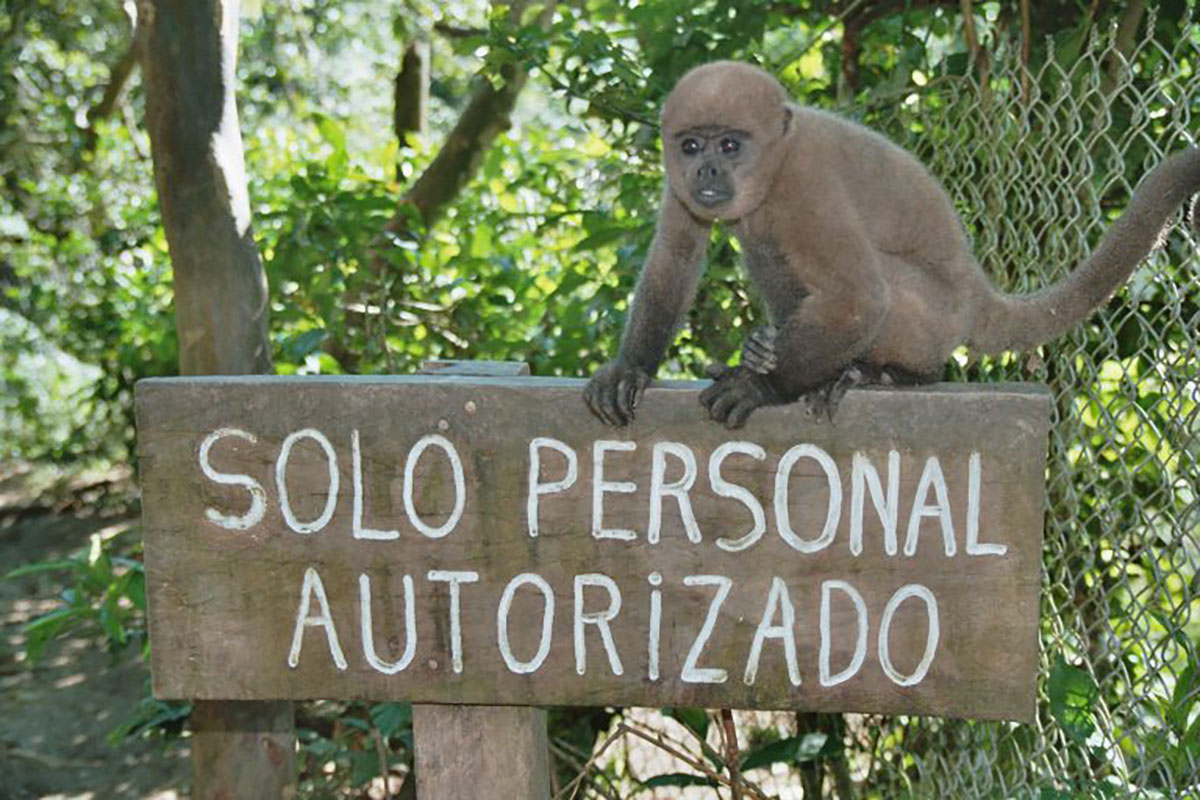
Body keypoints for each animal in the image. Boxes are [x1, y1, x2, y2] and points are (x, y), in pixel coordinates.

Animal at [583, 61, 1200, 428]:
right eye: (690, 146)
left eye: (730, 145)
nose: (707, 170)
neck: (773, 165)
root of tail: (976, 293)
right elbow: (675, 260)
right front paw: (630, 369)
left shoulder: (808, 187)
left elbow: (860, 296)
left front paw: (762, 386)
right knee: (765, 248)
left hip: (935, 314)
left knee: (866, 284)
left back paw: (887, 374)